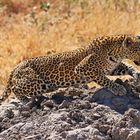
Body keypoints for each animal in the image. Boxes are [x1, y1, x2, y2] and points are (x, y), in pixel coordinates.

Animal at [0, 34, 140, 104]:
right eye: (138, 50)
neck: (117, 53)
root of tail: (17, 65)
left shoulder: (112, 68)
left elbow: (128, 67)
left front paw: (136, 76)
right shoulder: (82, 68)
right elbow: (104, 79)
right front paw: (118, 88)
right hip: (36, 82)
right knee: (15, 88)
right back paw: (25, 101)